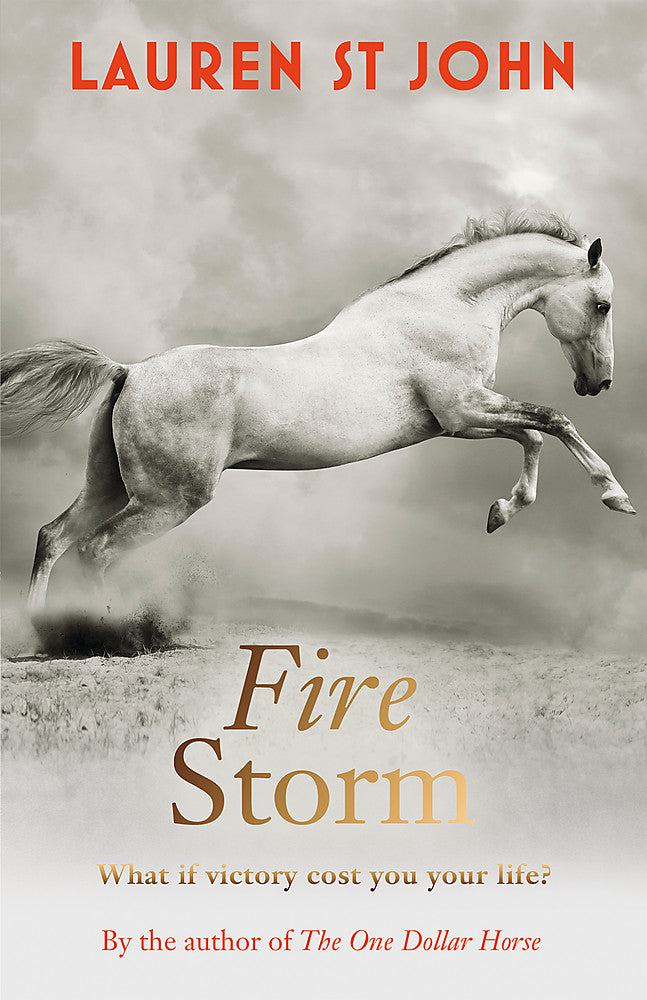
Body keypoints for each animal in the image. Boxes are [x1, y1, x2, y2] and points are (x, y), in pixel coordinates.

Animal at [0, 209, 635, 614]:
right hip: (168, 500)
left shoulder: (462, 421)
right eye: (603, 305)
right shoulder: (463, 412)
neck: (445, 306)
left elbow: (535, 435)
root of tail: (129, 371)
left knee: (53, 538)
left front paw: (500, 512)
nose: (599, 383)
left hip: (109, 486)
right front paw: (616, 496)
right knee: (95, 551)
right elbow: (552, 421)